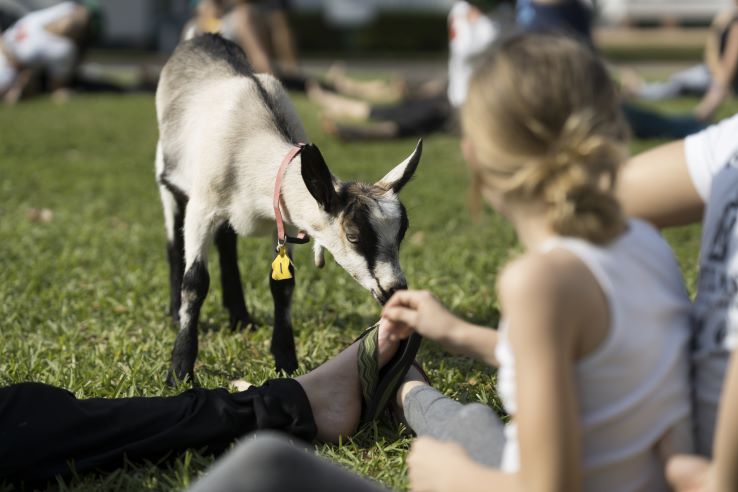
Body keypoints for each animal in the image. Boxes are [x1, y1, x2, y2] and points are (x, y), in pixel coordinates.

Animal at [155, 34, 420, 386]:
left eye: (402, 232)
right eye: (353, 235)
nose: (394, 289)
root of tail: (202, 38)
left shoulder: (286, 223)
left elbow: (282, 286)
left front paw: (285, 360)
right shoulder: (203, 208)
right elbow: (195, 282)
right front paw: (179, 370)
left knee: (227, 244)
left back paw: (240, 317)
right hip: (168, 178)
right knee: (174, 244)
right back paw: (176, 313)